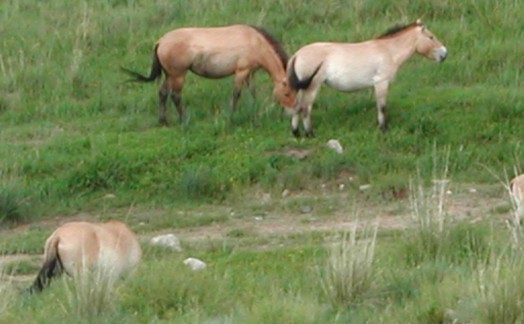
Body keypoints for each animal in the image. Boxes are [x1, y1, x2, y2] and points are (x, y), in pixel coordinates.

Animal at [122, 23, 294, 125]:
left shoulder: (250, 72)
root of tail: (161, 41)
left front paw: (255, 109)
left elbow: (252, 92)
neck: (256, 42)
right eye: (287, 94)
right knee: (175, 96)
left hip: (169, 75)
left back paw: (163, 121)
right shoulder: (241, 71)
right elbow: (236, 94)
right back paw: (184, 120)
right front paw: (231, 116)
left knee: (162, 93)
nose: (290, 114)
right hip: (178, 75)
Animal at [286, 19, 446, 137]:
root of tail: (297, 54)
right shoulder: (381, 83)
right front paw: (383, 129)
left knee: (296, 107)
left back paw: (296, 133)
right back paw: (310, 134)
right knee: (305, 109)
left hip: (302, 88)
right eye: (431, 37)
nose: (445, 54)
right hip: (312, 87)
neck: (388, 51)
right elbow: (382, 107)